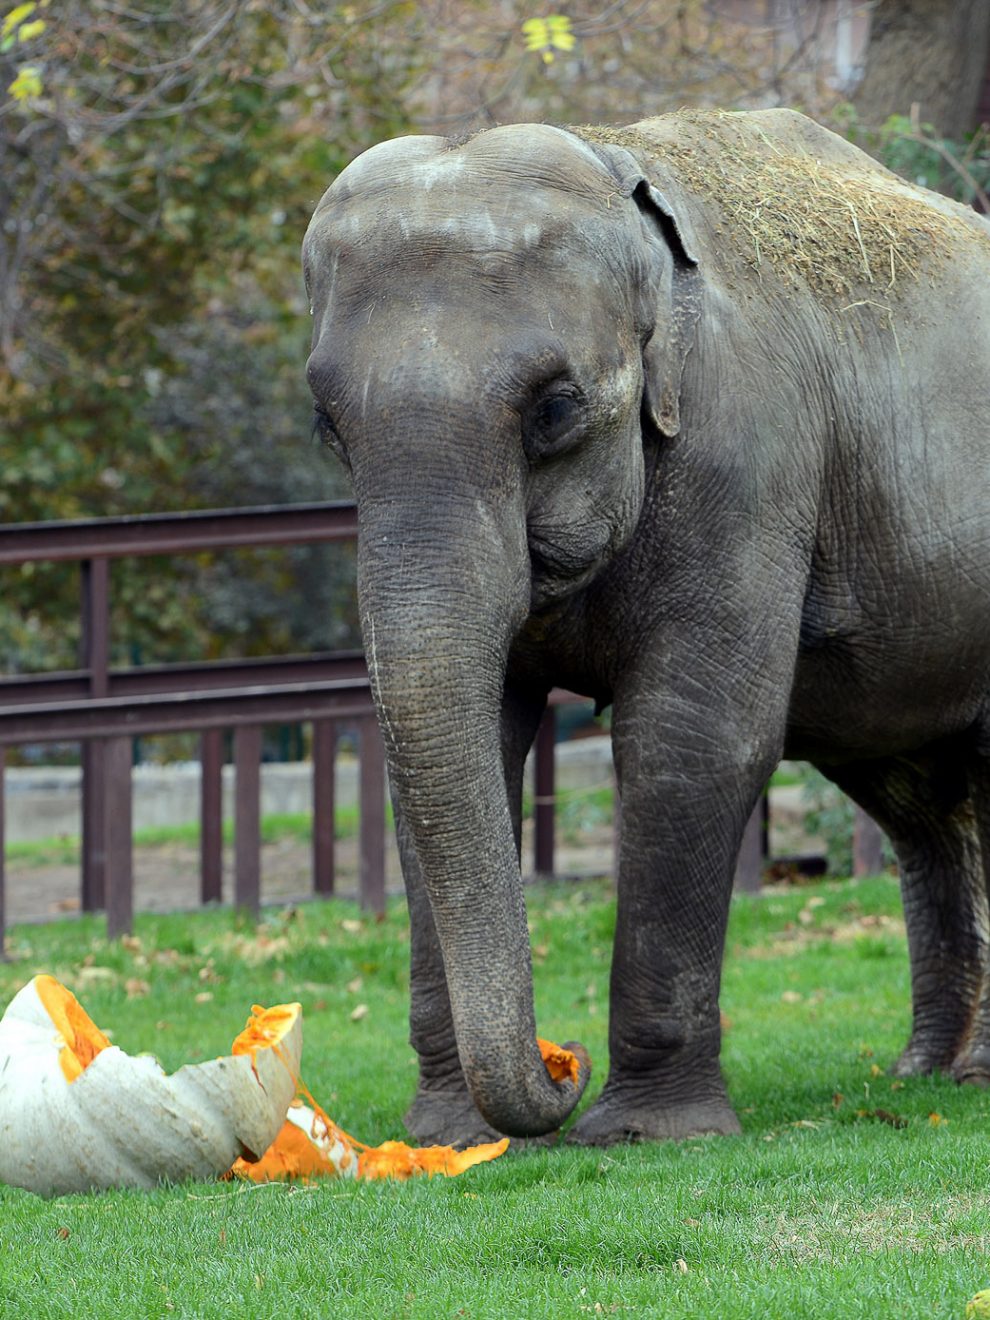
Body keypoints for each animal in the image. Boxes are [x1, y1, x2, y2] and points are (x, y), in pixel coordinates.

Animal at [302, 110, 990, 1145]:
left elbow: (690, 738)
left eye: (554, 408)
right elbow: (472, 742)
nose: (564, 1062)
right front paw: (449, 1139)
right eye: (326, 426)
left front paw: (643, 1133)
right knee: (920, 800)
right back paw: (928, 1073)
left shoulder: (747, 463)